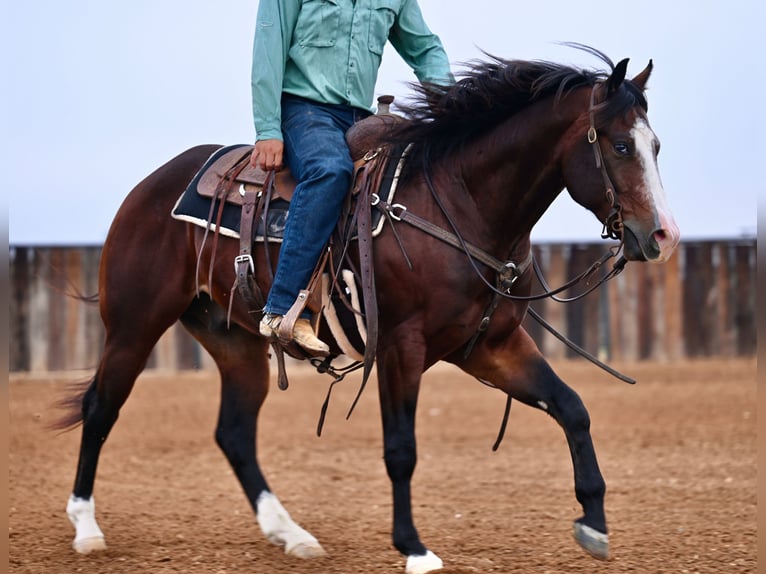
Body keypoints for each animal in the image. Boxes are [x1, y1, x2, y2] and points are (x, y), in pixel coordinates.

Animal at [56, 48, 679, 574]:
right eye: (620, 146)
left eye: (655, 147)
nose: (663, 236)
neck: (459, 203)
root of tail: (149, 187)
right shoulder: (402, 346)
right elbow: (401, 448)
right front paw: (415, 549)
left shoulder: (490, 347)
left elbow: (572, 408)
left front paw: (594, 523)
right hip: (134, 327)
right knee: (100, 408)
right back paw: (86, 528)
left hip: (235, 343)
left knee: (233, 431)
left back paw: (291, 534)